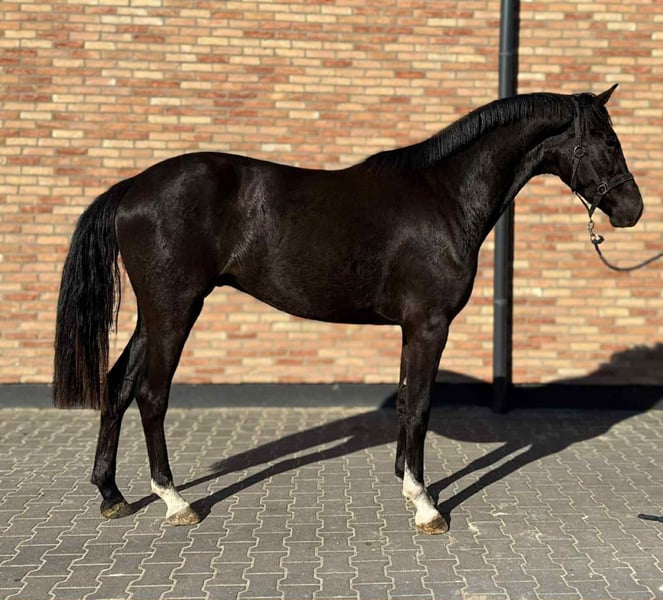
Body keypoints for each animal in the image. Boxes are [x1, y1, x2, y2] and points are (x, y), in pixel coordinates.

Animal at [53, 85, 643, 534]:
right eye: (607, 142)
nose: (632, 210)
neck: (445, 197)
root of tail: (133, 187)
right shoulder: (429, 325)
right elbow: (420, 406)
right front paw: (426, 506)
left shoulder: (412, 328)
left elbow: (406, 402)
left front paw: (408, 485)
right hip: (176, 310)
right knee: (151, 395)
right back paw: (176, 501)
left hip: (153, 316)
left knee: (118, 386)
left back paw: (112, 494)